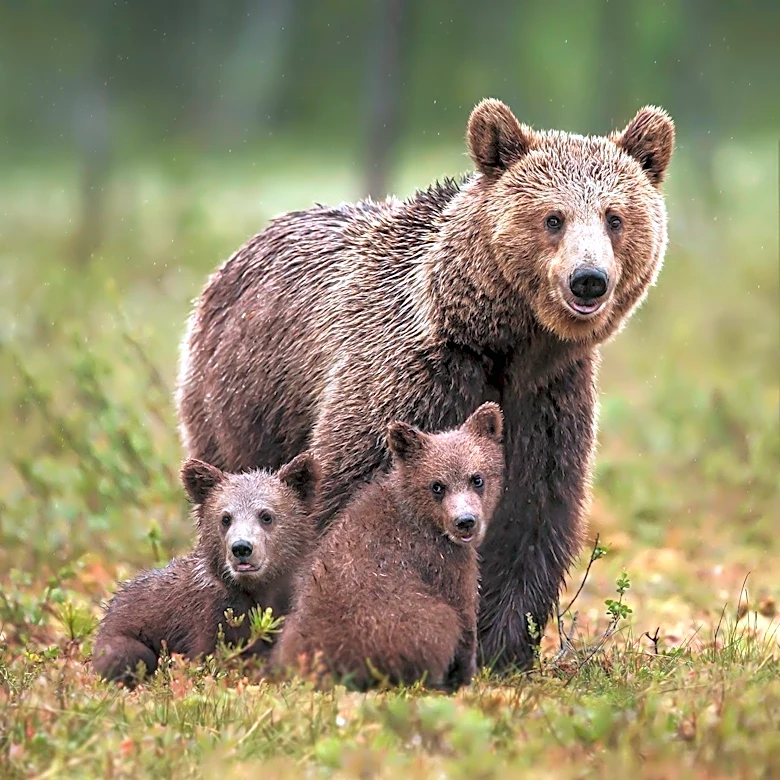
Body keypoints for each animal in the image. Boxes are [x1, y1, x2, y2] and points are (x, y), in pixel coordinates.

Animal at [272, 402, 506, 692]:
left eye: (477, 478)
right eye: (437, 485)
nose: (465, 521)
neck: (424, 518)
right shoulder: (440, 562)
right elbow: (464, 615)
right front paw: (466, 677)